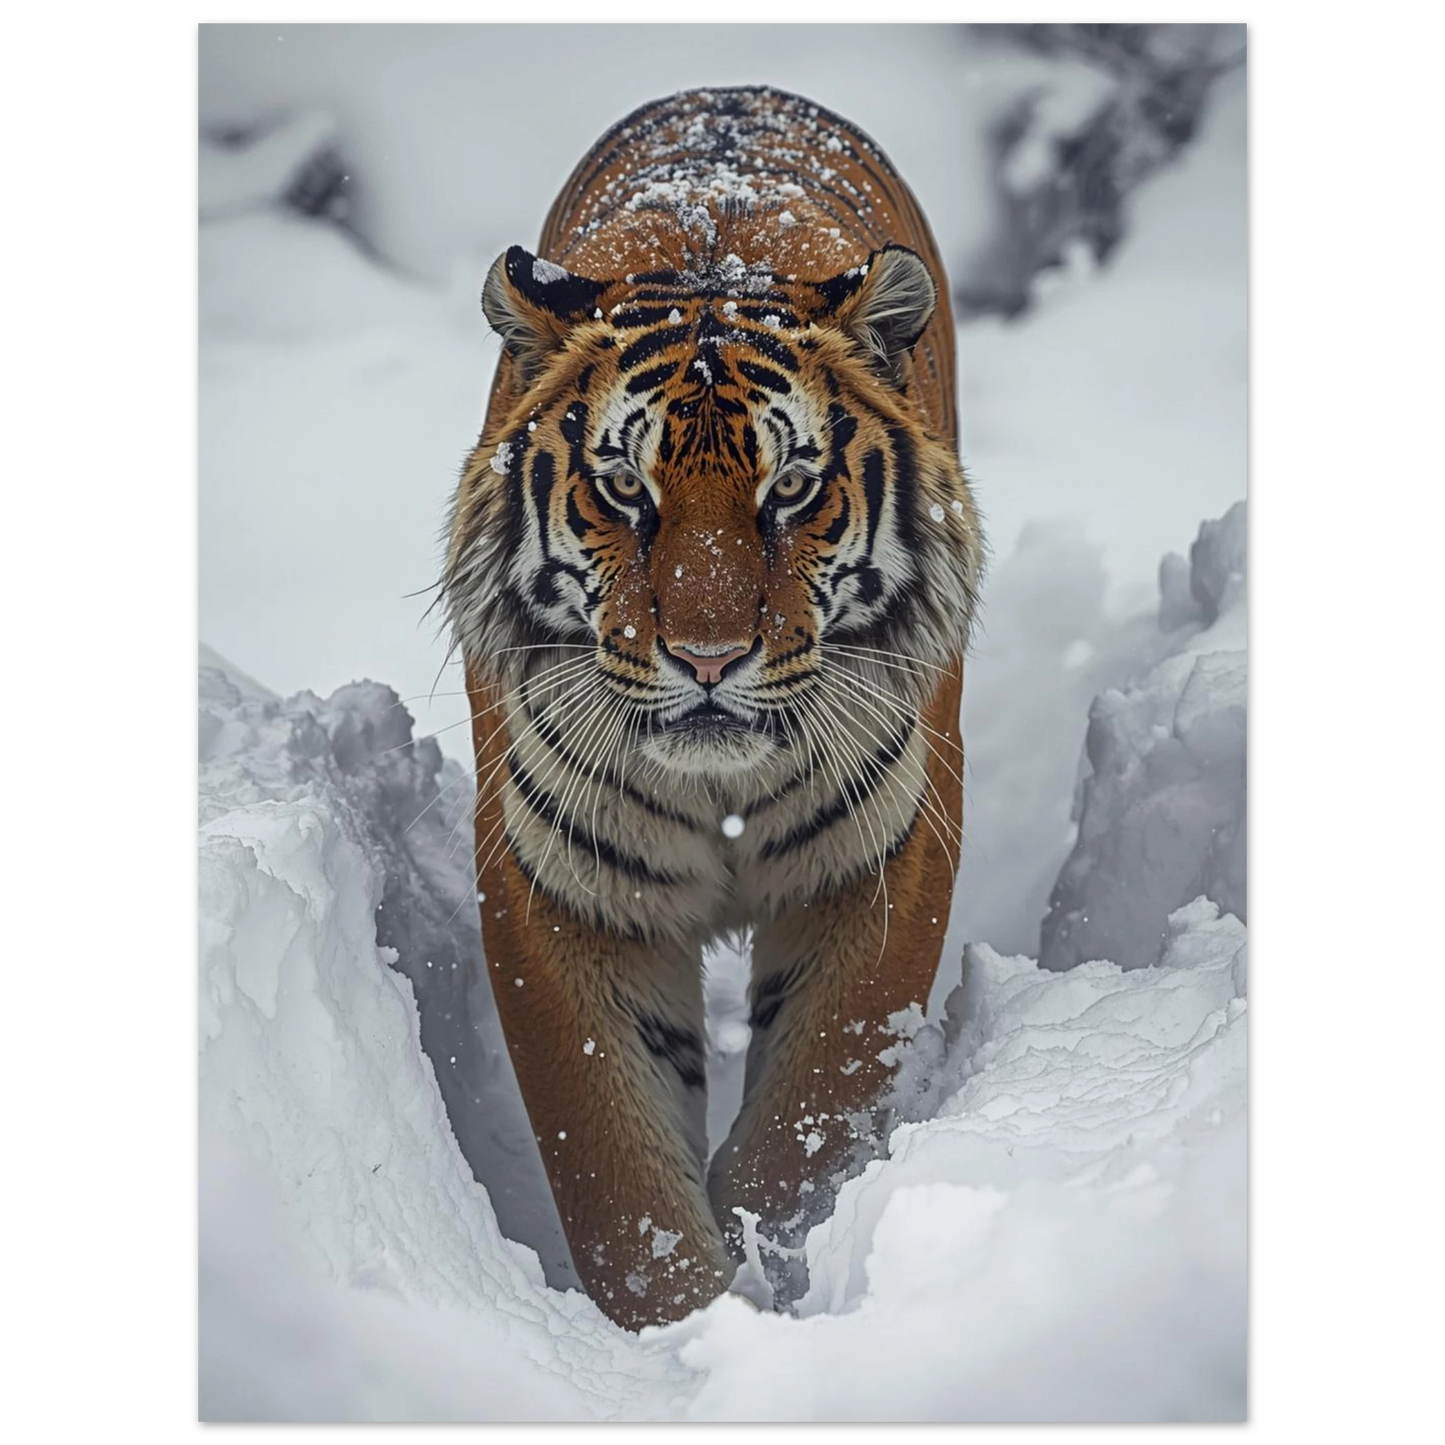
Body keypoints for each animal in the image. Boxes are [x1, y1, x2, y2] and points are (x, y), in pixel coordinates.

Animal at [442, 85, 983, 1331]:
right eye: (622, 488)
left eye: (789, 487)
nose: (704, 656)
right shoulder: (559, 884)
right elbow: (613, 1168)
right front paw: (685, 1324)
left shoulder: (883, 856)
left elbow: (809, 1108)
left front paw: (766, 1257)